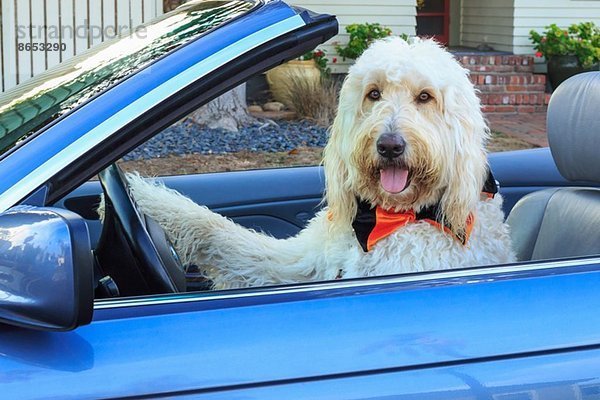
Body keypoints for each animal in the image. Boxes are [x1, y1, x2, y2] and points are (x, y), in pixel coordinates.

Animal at [123, 37, 516, 290]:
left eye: (425, 97)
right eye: (374, 93)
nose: (389, 145)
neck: (387, 217)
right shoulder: (299, 263)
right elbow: (225, 236)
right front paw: (141, 195)